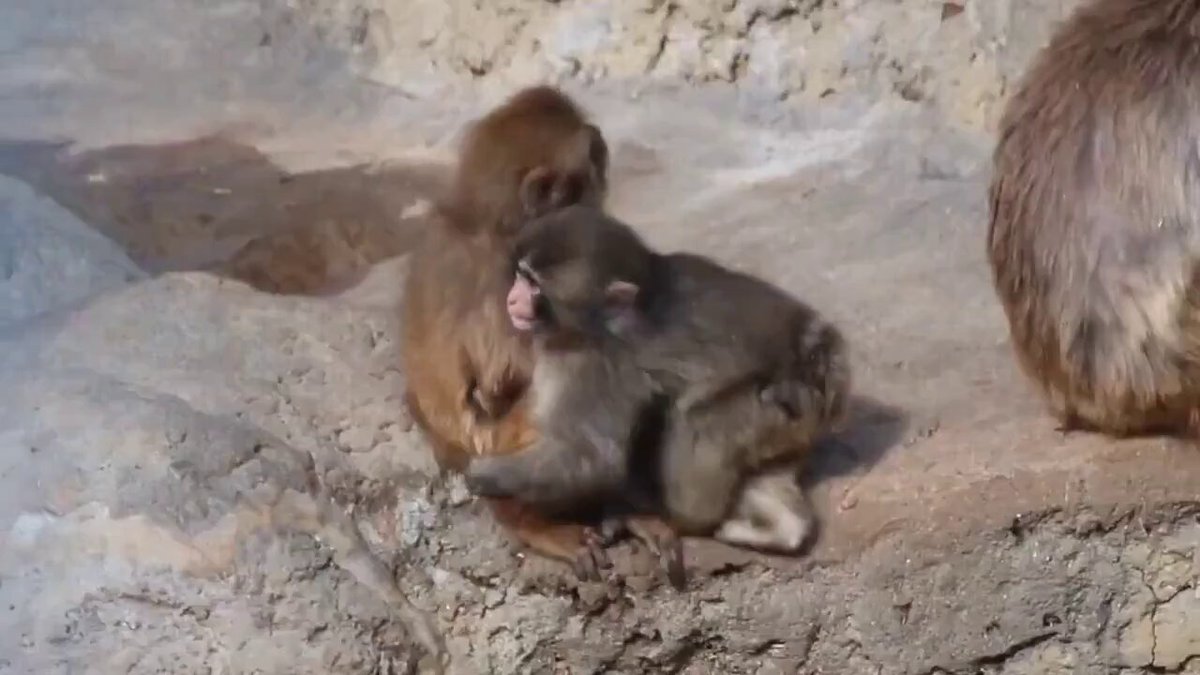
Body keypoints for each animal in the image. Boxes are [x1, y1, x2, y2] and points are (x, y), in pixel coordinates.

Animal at [463, 204, 850, 554]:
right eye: (521, 276)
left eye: (533, 285)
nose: (512, 299)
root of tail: (820, 359)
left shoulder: (591, 363)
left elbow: (592, 459)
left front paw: (484, 474)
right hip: (790, 422)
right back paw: (785, 527)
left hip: (777, 400)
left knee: (696, 420)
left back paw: (675, 517)